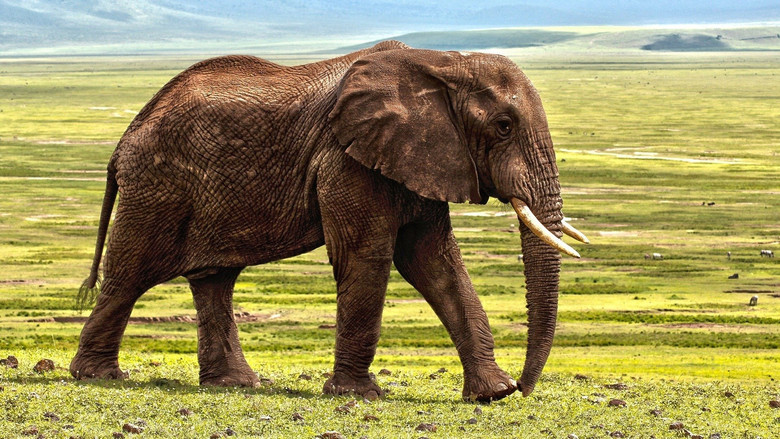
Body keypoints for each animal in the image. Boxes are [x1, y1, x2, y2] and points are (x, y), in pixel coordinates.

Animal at [71, 40, 588, 401]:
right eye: (503, 126)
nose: (524, 387)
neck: (442, 63)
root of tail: (126, 136)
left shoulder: (421, 158)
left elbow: (435, 263)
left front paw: (492, 395)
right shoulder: (346, 159)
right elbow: (367, 257)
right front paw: (360, 396)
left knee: (214, 278)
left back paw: (234, 385)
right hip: (157, 185)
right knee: (130, 273)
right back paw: (98, 377)